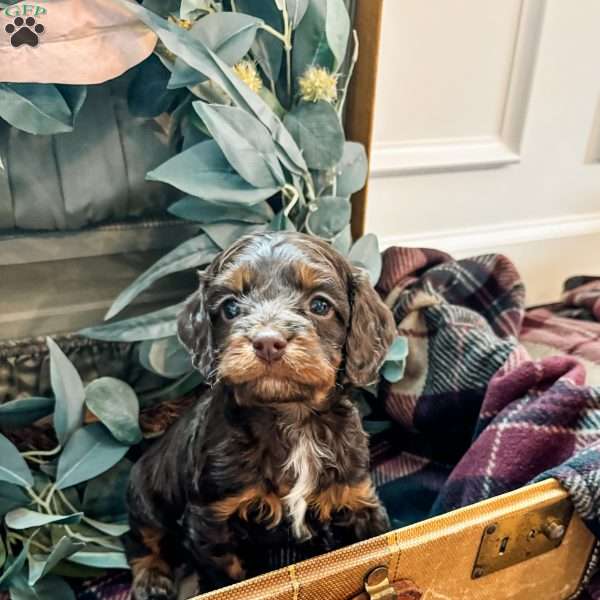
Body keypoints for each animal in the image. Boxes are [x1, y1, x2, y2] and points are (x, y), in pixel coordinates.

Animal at [126, 231, 396, 600]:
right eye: (230, 307)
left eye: (320, 305)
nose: (268, 342)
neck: (291, 417)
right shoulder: (211, 517)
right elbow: (227, 576)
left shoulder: (356, 496)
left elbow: (373, 542)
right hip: (143, 495)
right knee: (144, 540)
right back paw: (151, 579)